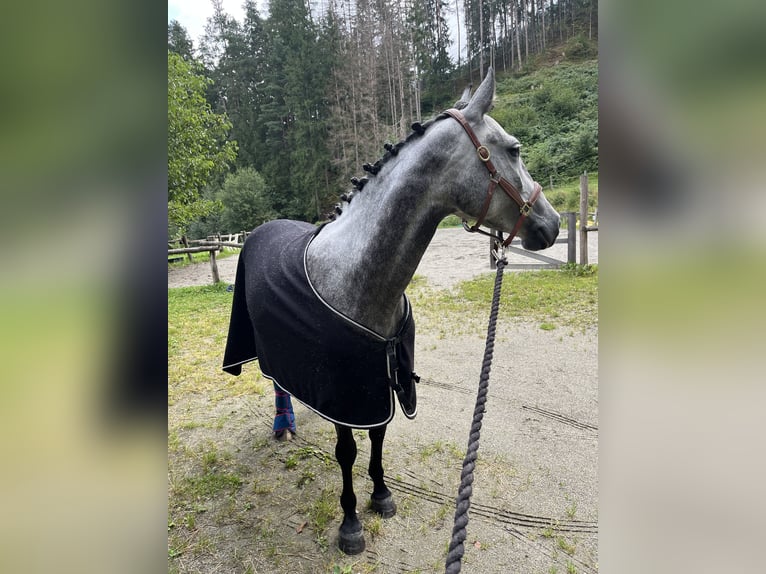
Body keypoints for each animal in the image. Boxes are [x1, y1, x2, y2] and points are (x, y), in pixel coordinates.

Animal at [222, 68, 560, 555]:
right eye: (513, 149)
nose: (553, 224)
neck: (358, 276)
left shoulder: (380, 381)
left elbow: (379, 435)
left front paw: (381, 495)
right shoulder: (348, 392)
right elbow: (347, 452)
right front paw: (350, 524)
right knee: (275, 382)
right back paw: (282, 423)